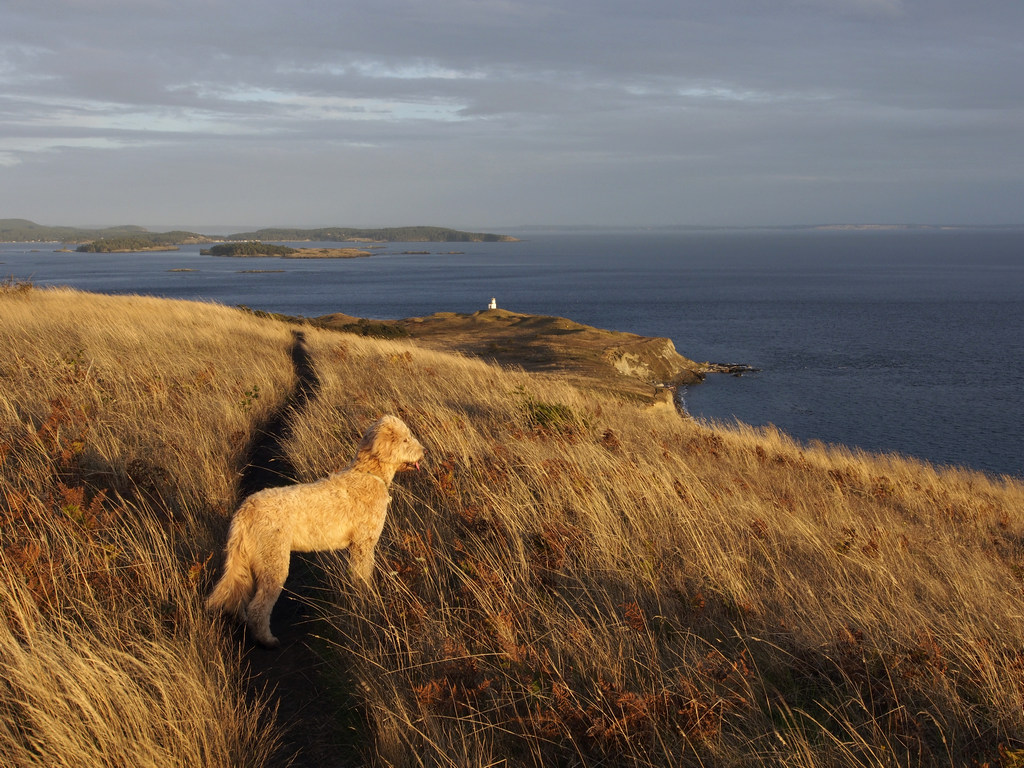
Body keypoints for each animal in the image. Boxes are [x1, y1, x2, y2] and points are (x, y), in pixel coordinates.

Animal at [205, 415, 421, 651]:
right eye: (405, 439)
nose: (423, 451)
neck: (369, 474)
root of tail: (245, 510)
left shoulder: (354, 548)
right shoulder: (363, 545)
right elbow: (363, 576)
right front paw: (366, 599)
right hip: (273, 562)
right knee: (258, 607)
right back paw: (267, 640)